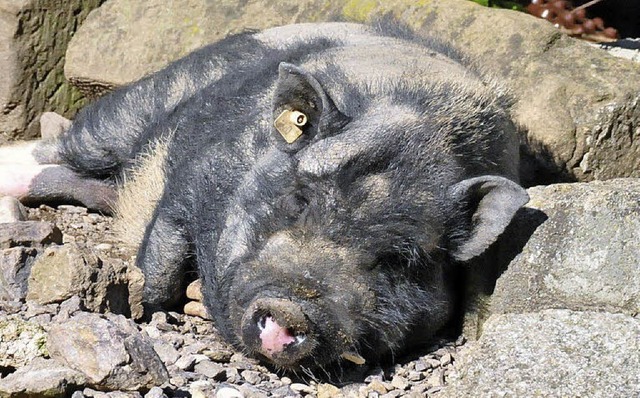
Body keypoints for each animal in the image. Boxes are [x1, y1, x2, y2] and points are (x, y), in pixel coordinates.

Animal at [0, 21, 528, 370]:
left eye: (401, 260)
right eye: (299, 199)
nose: (291, 306)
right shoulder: (195, 176)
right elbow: (159, 270)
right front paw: (149, 302)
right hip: (132, 109)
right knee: (59, 147)